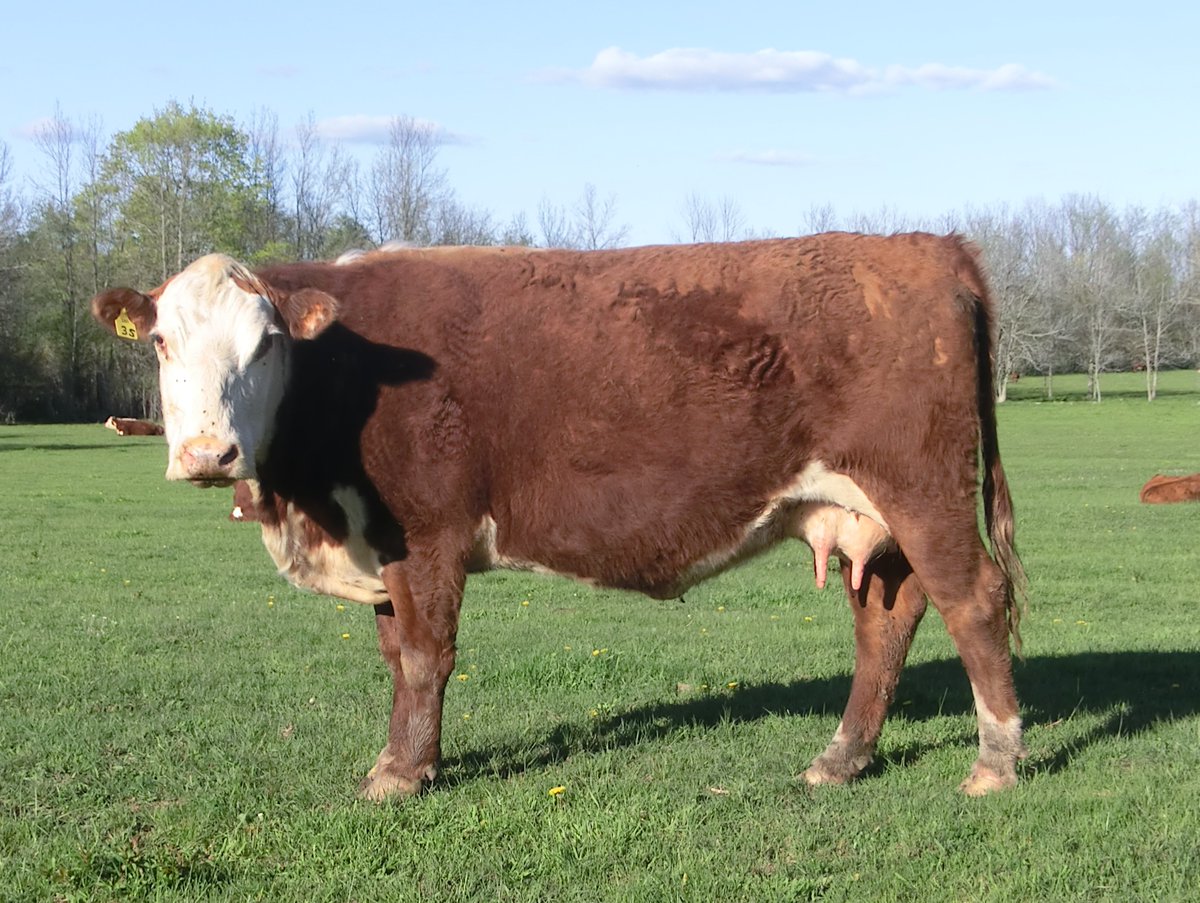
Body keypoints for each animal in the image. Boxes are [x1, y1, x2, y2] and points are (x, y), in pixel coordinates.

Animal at [90, 233, 1027, 799]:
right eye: (162, 341)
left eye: (265, 344)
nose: (208, 453)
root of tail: (927, 246)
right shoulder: (383, 545)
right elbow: (396, 656)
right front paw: (403, 758)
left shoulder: (425, 533)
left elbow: (426, 657)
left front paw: (402, 774)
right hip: (873, 514)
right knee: (889, 619)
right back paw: (841, 757)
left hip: (923, 490)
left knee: (974, 601)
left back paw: (997, 760)